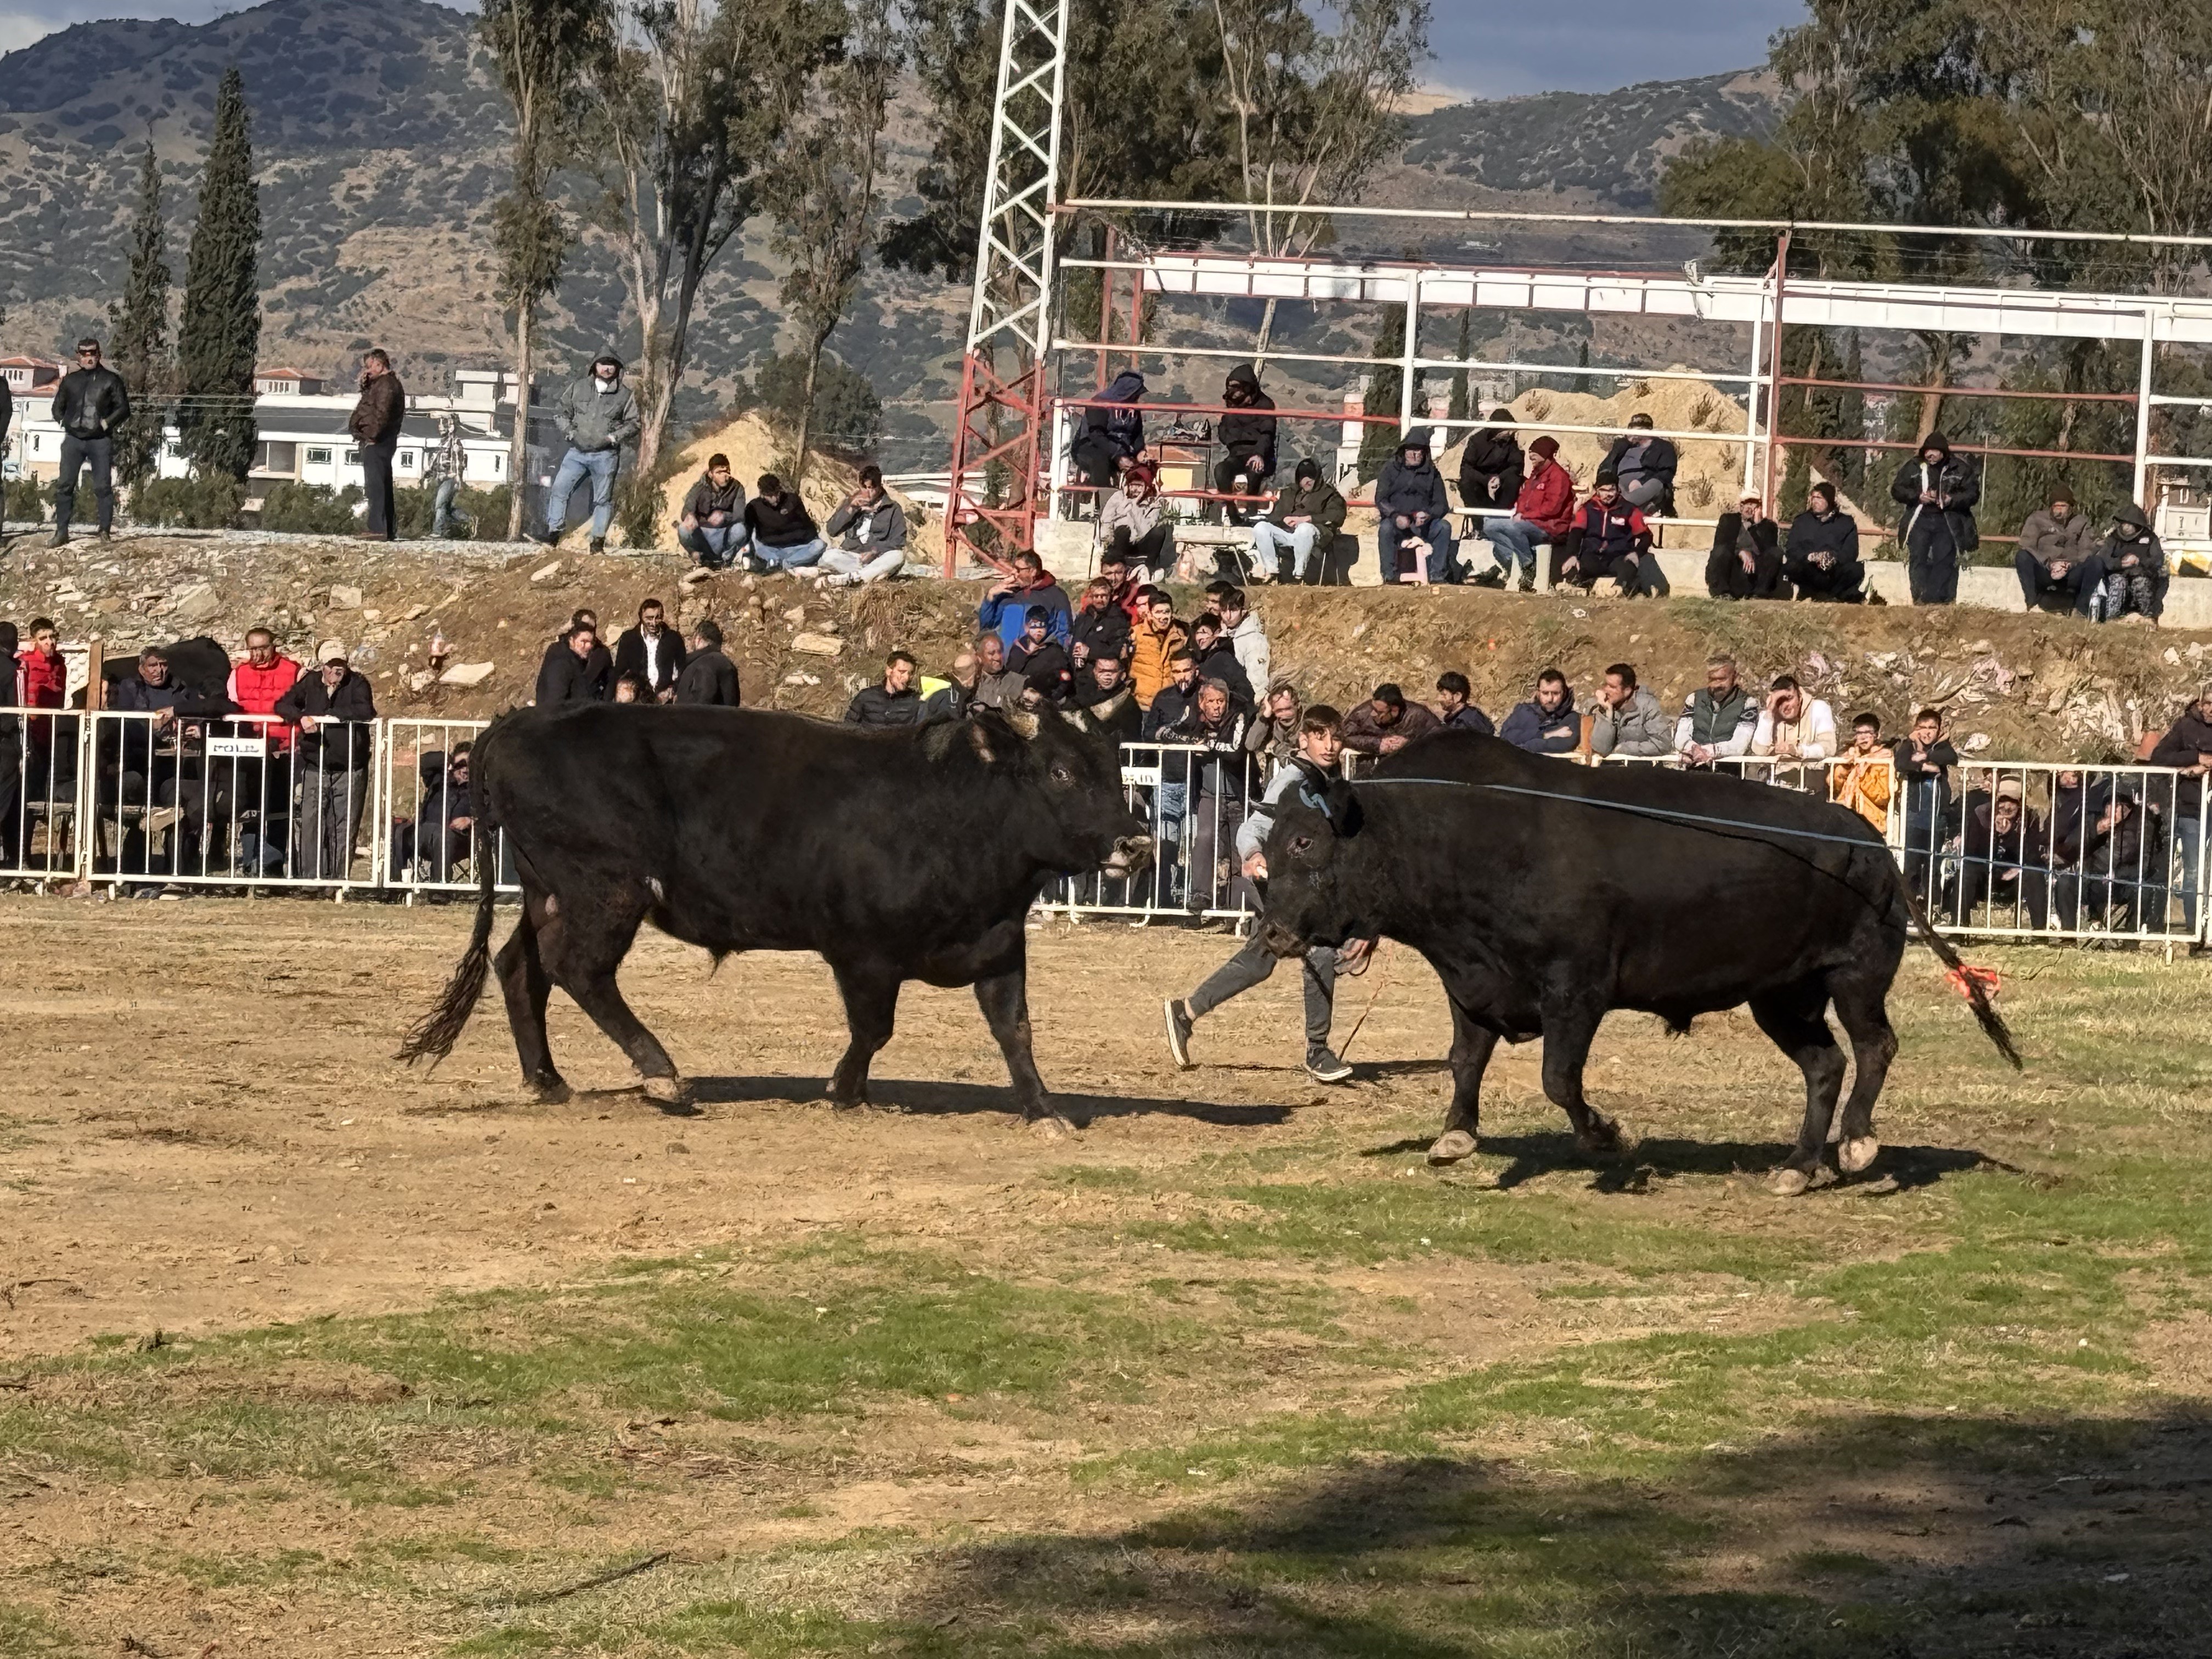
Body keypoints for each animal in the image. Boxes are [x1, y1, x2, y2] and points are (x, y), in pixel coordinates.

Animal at [398, 703, 1150, 1132]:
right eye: (1059, 772)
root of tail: (519, 721)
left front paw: (1043, 1109)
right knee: (578, 968)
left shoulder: (999, 945)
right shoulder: (863, 955)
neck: (952, 807)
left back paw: (548, 1080)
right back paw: (661, 1072)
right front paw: (844, 1091)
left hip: (547, 890)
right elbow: (874, 1030)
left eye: (1113, 767)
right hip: (604, 890)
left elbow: (1015, 1031)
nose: (1135, 843)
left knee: (520, 967)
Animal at [1256, 738, 2017, 1194]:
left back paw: (1857, 1144)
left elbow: (1559, 1079)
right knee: (1825, 1065)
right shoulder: (1470, 983)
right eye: (1269, 840)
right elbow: (1465, 1059)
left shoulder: (1576, 990)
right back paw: (1797, 1167)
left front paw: (1607, 1137)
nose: (1271, 933)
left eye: (1304, 842)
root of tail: (1871, 841)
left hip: (1855, 975)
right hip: (1781, 996)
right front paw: (1455, 1137)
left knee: (1874, 1046)